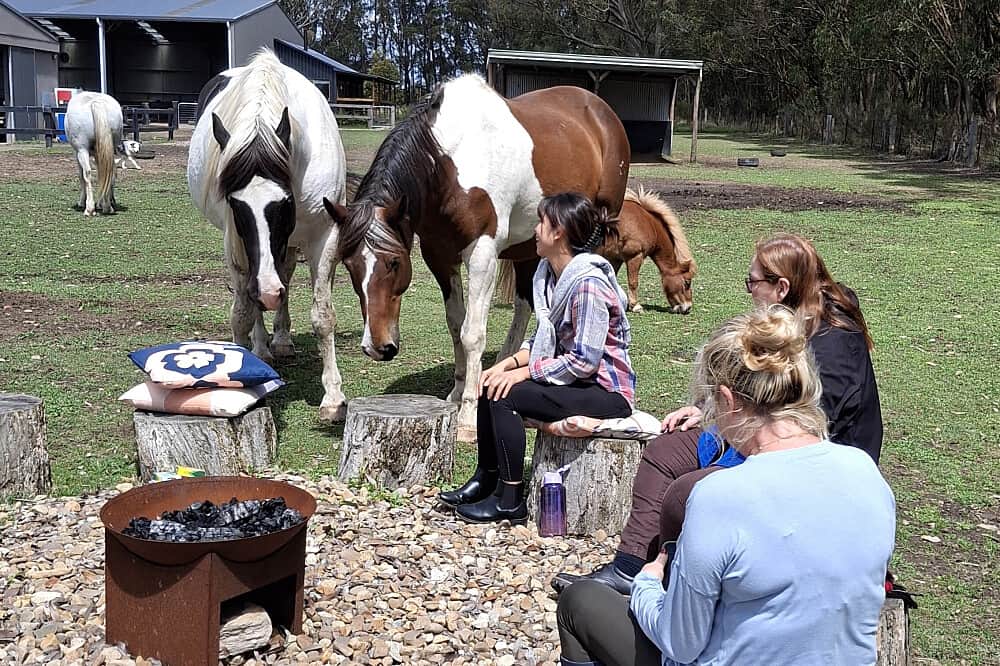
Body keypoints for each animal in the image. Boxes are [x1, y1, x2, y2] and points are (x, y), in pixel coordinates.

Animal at [187, 48, 349, 421]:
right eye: (236, 204)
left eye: (285, 201)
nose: (267, 290)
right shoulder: (236, 243)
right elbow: (243, 313)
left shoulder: (324, 236)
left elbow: (323, 316)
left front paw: (333, 397)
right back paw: (263, 347)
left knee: (283, 277)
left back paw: (282, 339)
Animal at [324, 74, 630, 433]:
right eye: (349, 265)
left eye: (394, 262)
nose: (376, 347)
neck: (449, 164)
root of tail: (599, 109)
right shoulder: (439, 255)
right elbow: (456, 324)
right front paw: (458, 393)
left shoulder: (482, 255)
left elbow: (472, 333)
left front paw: (469, 415)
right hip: (530, 244)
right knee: (525, 304)